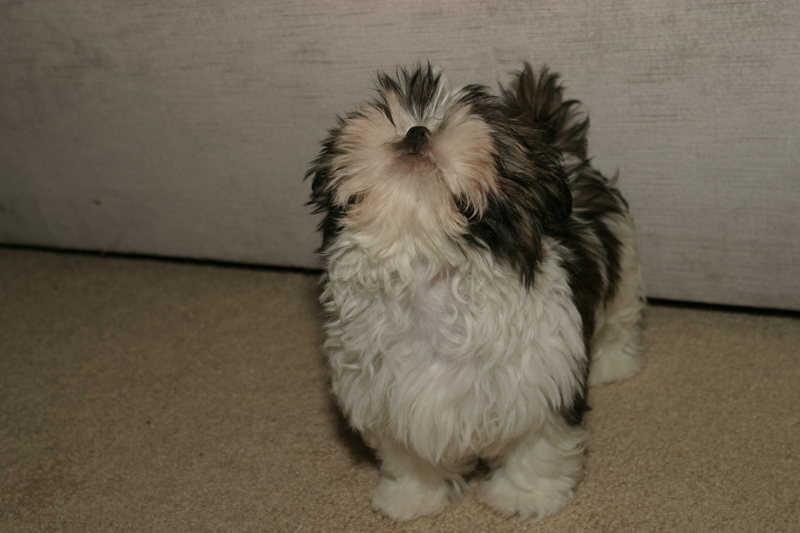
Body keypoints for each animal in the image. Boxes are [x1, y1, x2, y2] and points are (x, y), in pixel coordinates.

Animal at [307, 63, 645, 521]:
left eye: (467, 121)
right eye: (392, 110)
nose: (417, 129)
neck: (424, 262)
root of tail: (564, 147)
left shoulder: (541, 385)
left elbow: (536, 447)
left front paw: (525, 496)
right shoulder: (392, 395)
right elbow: (409, 453)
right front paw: (412, 497)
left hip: (624, 265)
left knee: (620, 318)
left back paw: (614, 364)